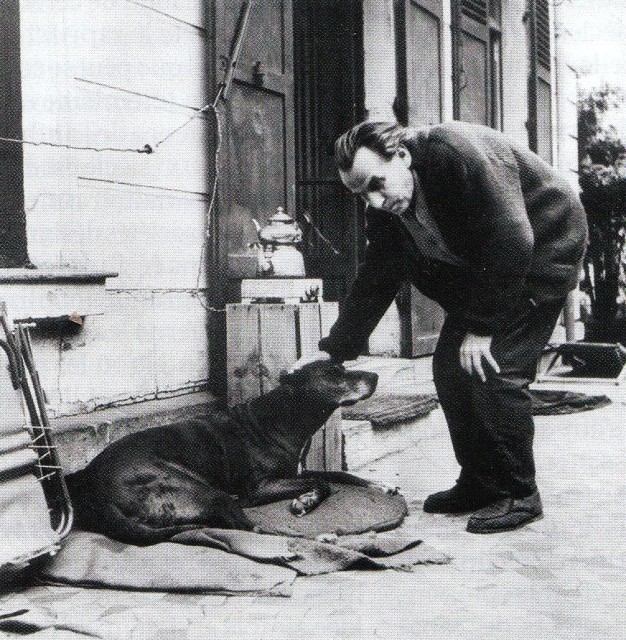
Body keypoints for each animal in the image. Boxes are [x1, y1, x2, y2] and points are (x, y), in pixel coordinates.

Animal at [64, 360, 386, 544]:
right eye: (334, 374)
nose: (375, 375)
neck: (283, 416)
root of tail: (97, 493)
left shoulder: (295, 470)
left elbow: (337, 474)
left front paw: (379, 484)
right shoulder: (258, 488)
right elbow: (322, 481)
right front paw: (304, 501)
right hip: (198, 487)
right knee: (253, 530)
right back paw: (320, 538)